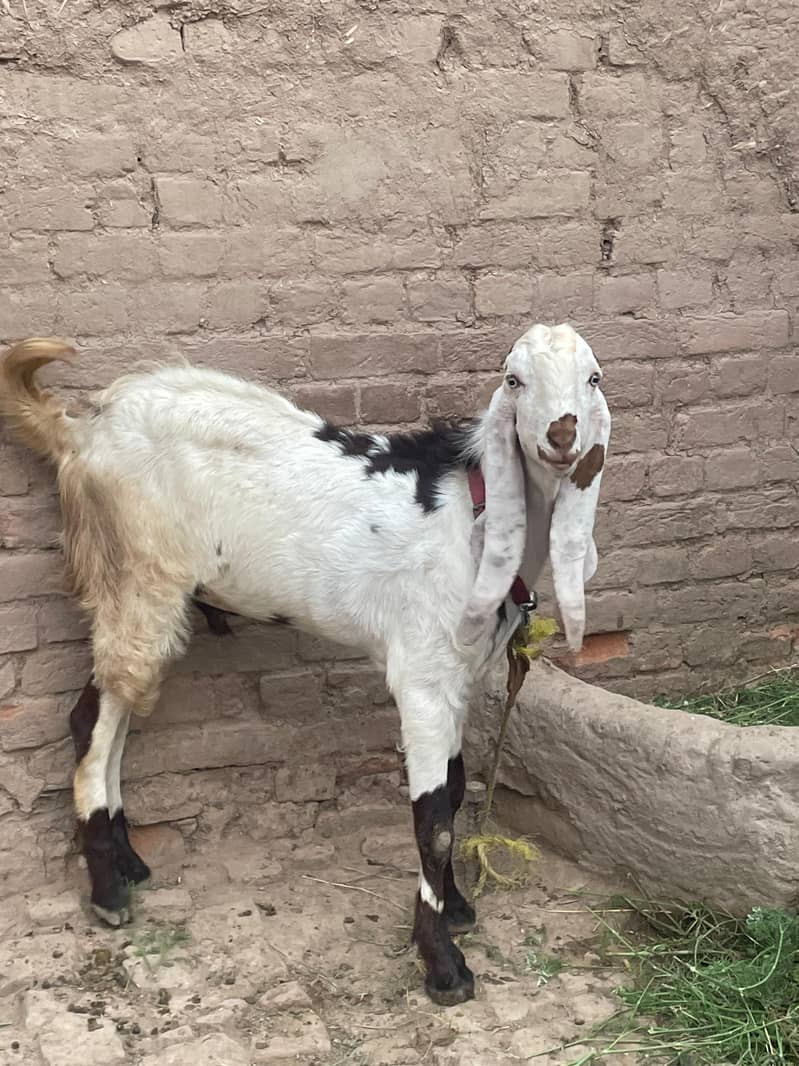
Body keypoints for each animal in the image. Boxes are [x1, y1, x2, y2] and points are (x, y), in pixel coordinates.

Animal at [0, 324, 610, 1006]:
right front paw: (443, 966)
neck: (469, 516)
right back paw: (107, 891)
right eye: (514, 379)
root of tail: (80, 431)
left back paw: (127, 862)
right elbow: (432, 819)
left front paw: (454, 908)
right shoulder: (423, 675)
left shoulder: (459, 677)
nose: (562, 435)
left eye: (593, 378)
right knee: (93, 717)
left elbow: (453, 794)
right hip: (134, 574)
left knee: (116, 709)